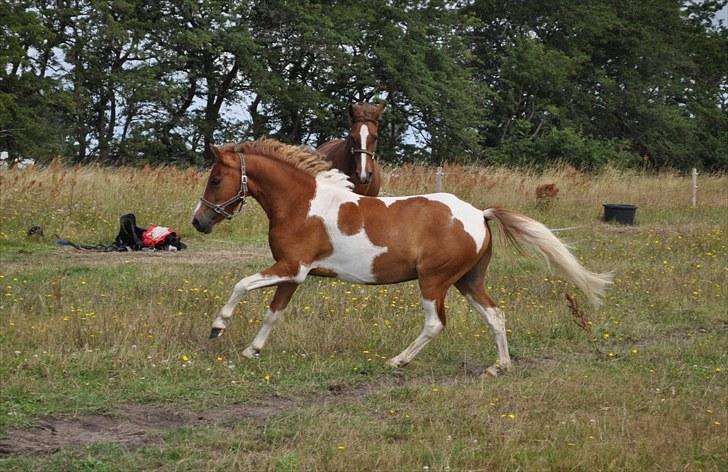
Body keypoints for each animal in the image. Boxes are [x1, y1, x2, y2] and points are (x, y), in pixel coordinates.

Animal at [191, 137, 612, 376]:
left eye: (215, 179)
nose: (199, 222)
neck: (301, 204)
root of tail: (480, 214)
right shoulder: (295, 274)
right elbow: (273, 313)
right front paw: (251, 351)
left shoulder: (290, 268)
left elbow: (241, 284)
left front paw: (217, 327)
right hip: (468, 280)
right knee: (495, 315)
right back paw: (499, 367)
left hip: (434, 281)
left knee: (435, 323)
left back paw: (398, 361)